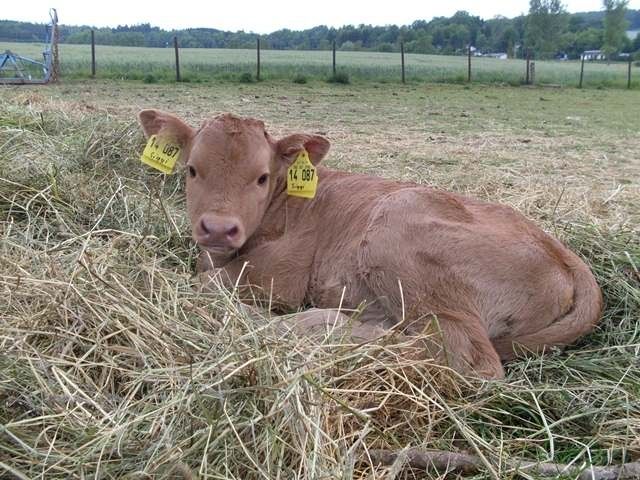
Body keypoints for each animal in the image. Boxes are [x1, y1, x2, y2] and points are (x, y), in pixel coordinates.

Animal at [138, 109, 604, 378]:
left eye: (261, 177)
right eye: (192, 170)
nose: (218, 228)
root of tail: (563, 252)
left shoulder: (285, 272)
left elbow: (206, 283)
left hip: (399, 229)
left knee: (464, 357)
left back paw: (296, 326)